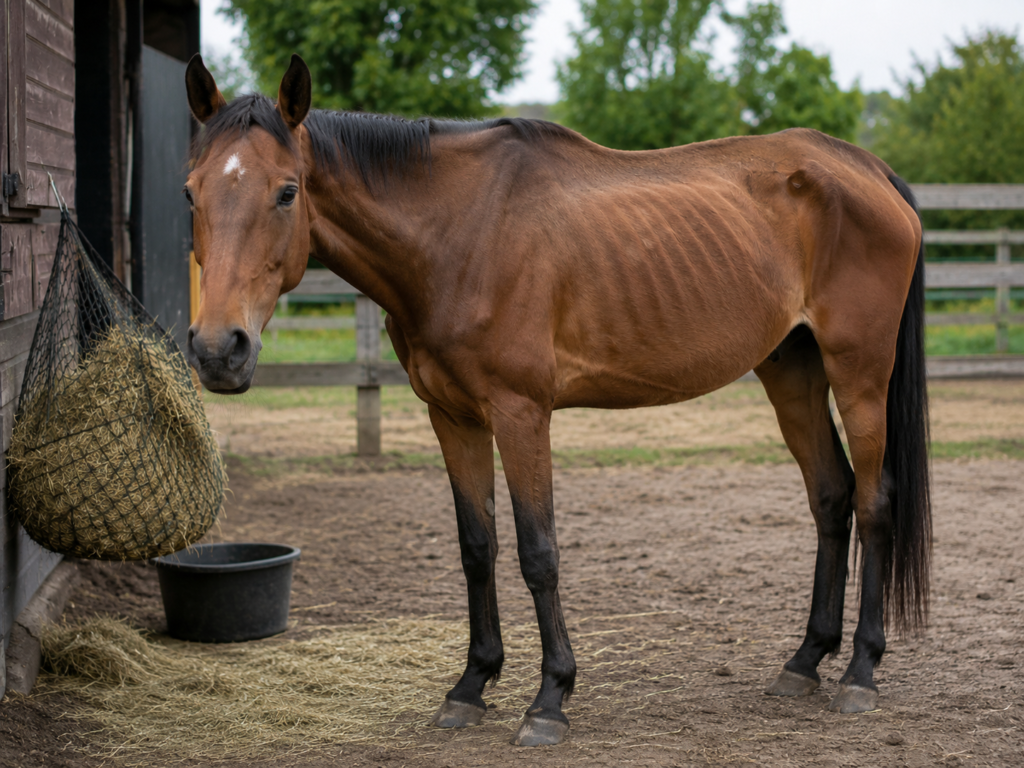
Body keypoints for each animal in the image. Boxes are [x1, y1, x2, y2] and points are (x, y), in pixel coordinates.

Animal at [182, 54, 930, 746]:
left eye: (286, 192)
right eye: (191, 194)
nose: (220, 349)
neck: (457, 232)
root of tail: (867, 169)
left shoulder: (521, 414)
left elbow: (537, 551)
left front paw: (549, 700)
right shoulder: (451, 416)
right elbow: (476, 545)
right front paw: (471, 684)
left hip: (859, 374)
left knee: (874, 504)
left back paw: (860, 672)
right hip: (792, 370)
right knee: (831, 497)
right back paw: (805, 662)